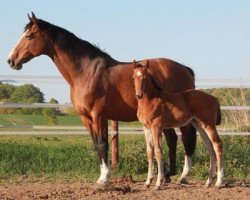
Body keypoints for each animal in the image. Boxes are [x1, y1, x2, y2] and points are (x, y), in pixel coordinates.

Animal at [134, 60, 224, 188]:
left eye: (145, 77)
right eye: (134, 77)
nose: (139, 95)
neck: (151, 100)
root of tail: (213, 98)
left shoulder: (157, 127)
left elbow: (158, 150)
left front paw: (158, 183)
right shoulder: (146, 128)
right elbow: (150, 152)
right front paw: (147, 182)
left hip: (209, 124)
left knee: (217, 144)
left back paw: (218, 182)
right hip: (199, 124)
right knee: (210, 147)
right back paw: (208, 181)